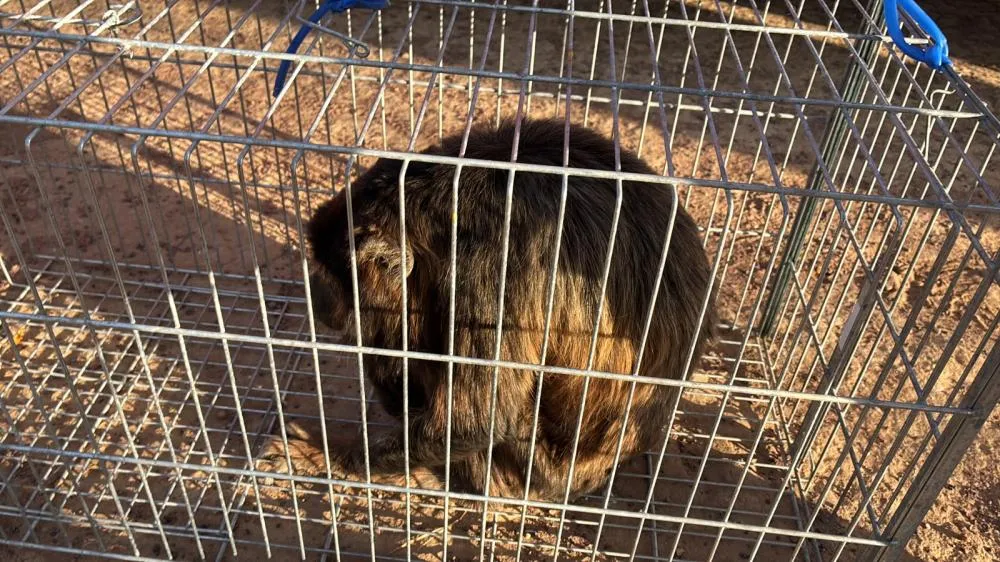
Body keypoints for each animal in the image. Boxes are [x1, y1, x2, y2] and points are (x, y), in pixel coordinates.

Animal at [266, 117, 717, 504]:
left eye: (331, 278)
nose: (313, 291)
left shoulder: (487, 265)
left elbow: (475, 421)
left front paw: (325, 456)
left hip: (536, 470)